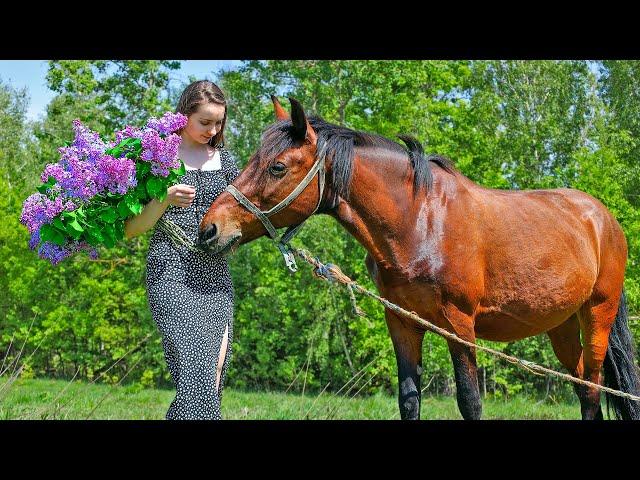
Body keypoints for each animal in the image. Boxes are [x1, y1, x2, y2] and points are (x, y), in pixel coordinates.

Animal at [198, 96, 636, 420]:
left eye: (277, 167)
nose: (210, 229)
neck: (421, 221)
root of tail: (604, 220)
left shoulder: (460, 325)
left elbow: (470, 401)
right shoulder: (402, 322)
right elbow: (409, 399)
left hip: (597, 313)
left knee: (593, 385)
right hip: (561, 323)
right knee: (582, 386)